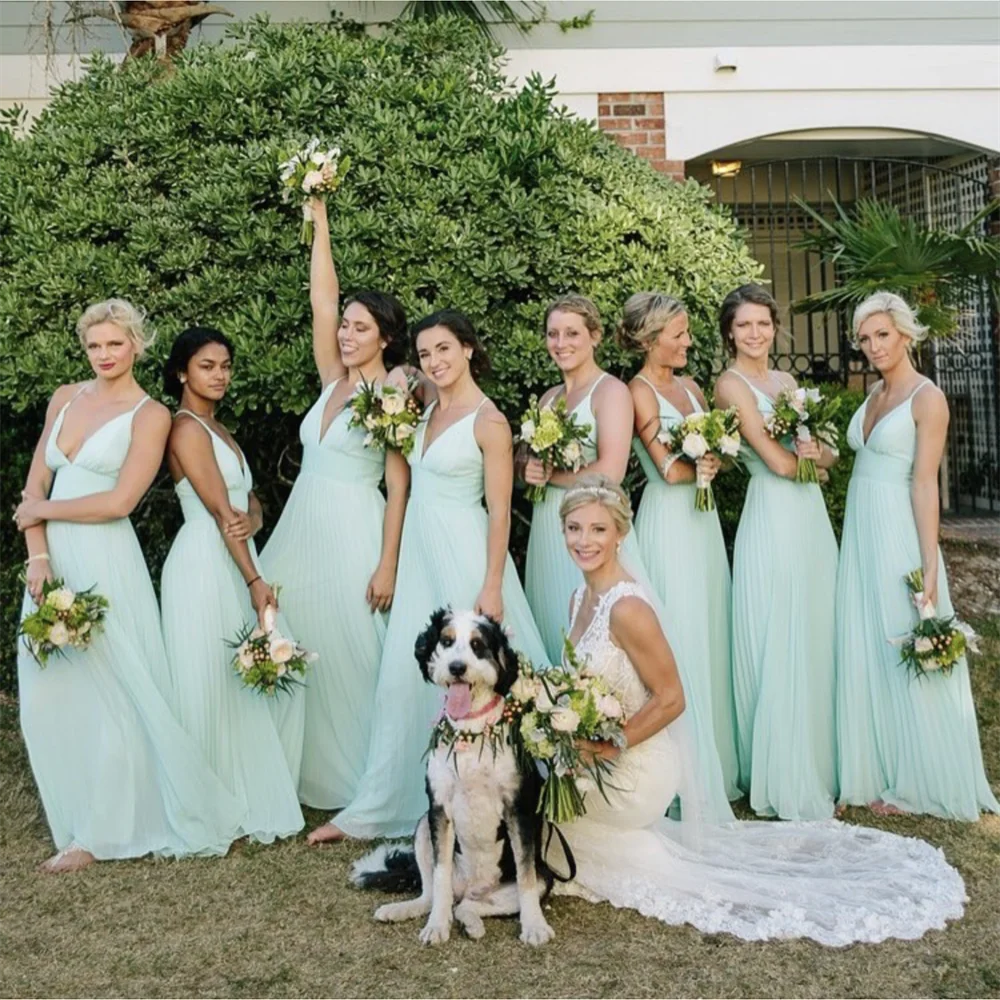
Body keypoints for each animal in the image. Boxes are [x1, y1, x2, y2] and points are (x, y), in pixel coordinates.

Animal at [350, 608, 556, 944]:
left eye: (477, 645)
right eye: (446, 641)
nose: (456, 667)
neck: (470, 733)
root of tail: (470, 888)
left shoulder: (519, 811)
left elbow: (525, 877)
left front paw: (535, 927)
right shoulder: (439, 810)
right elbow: (440, 876)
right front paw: (436, 926)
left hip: (542, 877)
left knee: (469, 905)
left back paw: (472, 923)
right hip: (423, 826)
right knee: (436, 896)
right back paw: (405, 910)